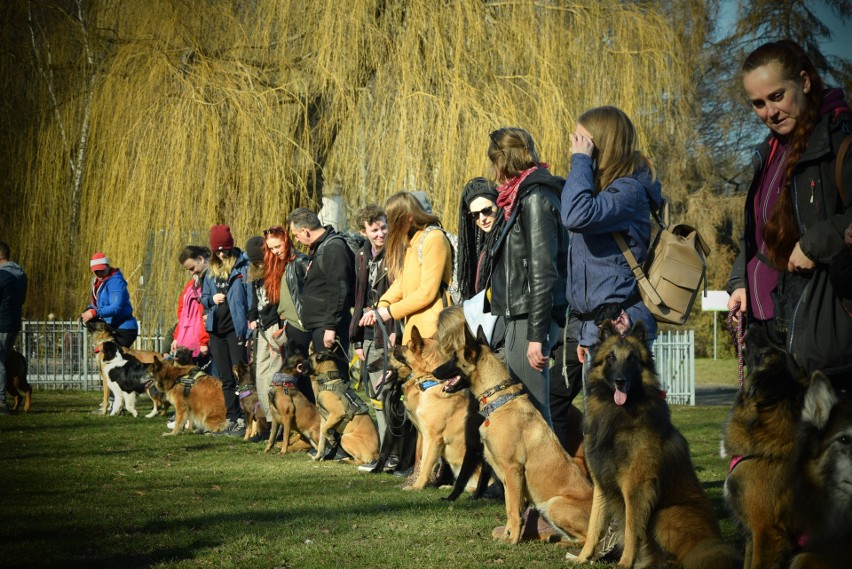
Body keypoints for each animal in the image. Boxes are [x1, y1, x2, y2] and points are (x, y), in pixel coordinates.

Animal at [432, 308, 592, 544]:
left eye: (454, 357)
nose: (434, 372)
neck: (499, 400)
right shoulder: (506, 477)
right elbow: (509, 508)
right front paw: (506, 535)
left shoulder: (513, 470)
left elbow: (516, 511)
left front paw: (513, 540)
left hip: (555, 504)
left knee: (587, 540)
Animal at [576, 322, 736, 564]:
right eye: (610, 357)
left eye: (632, 358)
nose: (620, 381)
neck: (617, 415)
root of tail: (711, 543)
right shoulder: (601, 483)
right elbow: (594, 526)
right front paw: (582, 557)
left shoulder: (636, 485)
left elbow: (632, 529)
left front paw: (625, 563)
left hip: (665, 515)